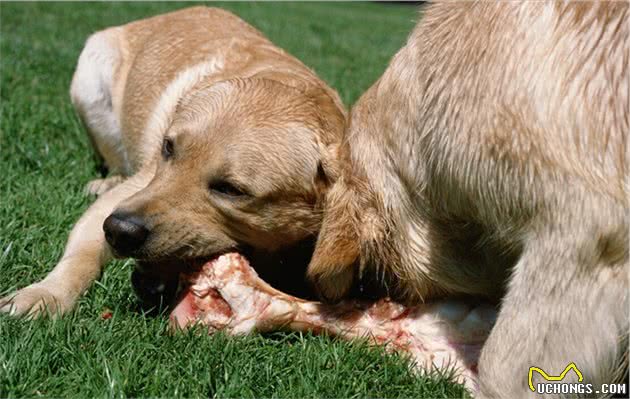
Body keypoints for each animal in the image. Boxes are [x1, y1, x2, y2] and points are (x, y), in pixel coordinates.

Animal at [0, 5, 346, 316]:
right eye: (168, 148)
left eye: (230, 190)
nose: (118, 230)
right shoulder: (127, 195)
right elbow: (82, 253)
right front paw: (44, 294)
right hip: (91, 80)